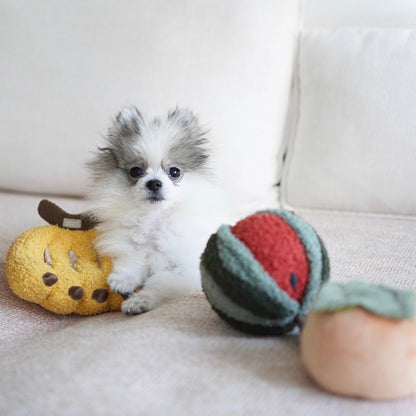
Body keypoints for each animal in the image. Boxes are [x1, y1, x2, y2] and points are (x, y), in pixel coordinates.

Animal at [85, 107, 226, 316]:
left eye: (174, 172)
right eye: (135, 171)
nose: (153, 183)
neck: (154, 218)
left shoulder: (181, 269)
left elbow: (158, 283)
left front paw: (139, 301)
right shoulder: (135, 250)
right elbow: (132, 262)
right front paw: (123, 280)